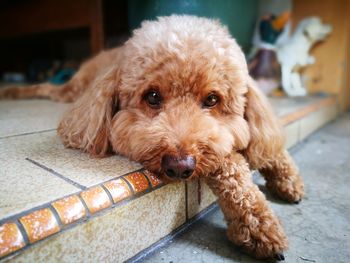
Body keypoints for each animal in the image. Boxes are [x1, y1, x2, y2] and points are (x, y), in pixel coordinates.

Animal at [0, 15, 304, 260]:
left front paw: (287, 180)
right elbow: (230, 164)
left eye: (212, 99)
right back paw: (13, 92)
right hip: (73, 89)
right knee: (45, 88)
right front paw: (258, 225)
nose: (180, 166)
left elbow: (267, 148)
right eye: (153, 97)